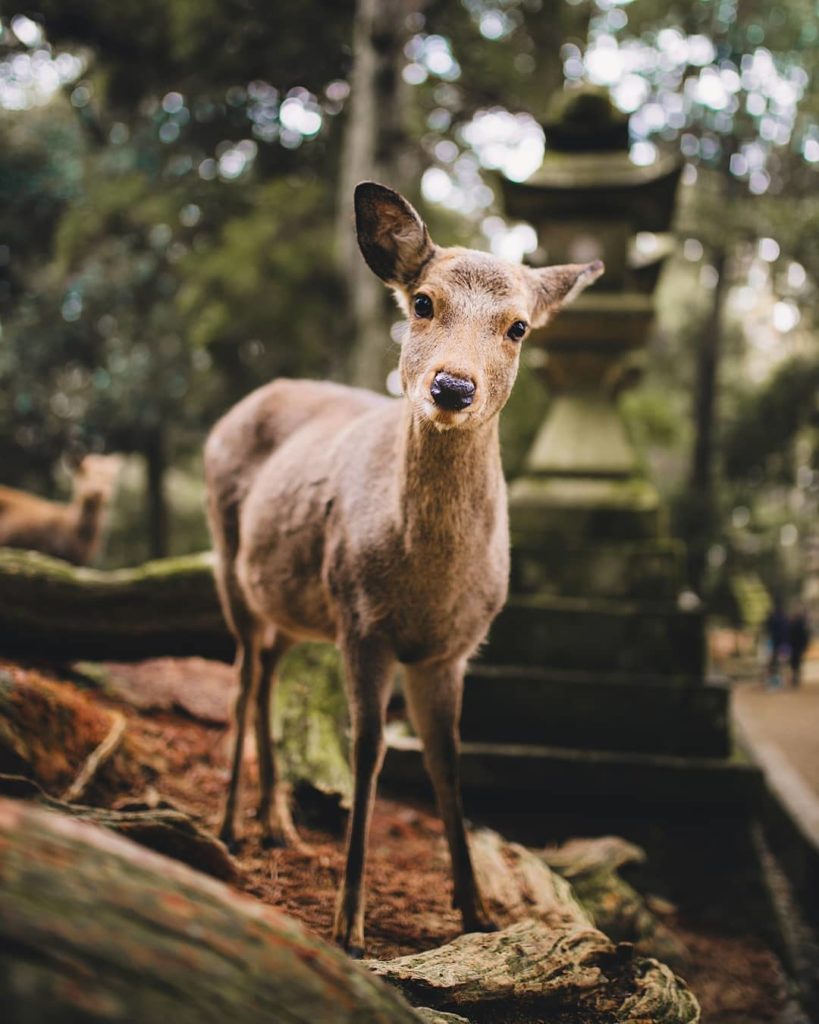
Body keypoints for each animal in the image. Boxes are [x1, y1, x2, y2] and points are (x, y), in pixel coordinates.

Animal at [203, 181, 604, 955]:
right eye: (421, 301)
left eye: (517, 327)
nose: (452, 387)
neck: (426, 590)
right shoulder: (363, 622)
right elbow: (367, 753)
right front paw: (348, 924)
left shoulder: (451, 649)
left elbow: (447, 760)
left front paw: (477, 912)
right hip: (231, 563)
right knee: (238, 680)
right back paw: (230, 824)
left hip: (295, 605)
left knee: (264, 676)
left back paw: (277, 823)